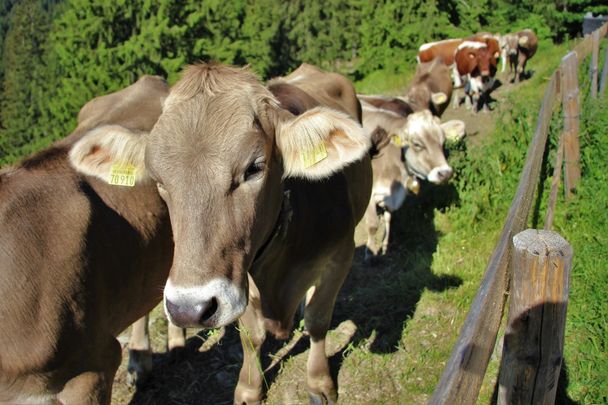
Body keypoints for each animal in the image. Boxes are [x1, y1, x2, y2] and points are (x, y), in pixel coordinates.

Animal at [94, 61, 370, 402]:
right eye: (158, 180)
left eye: (254, 167)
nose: (188, 309)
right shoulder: (240, 276)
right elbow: (251, 335)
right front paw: (249, 389)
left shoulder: (341, 254)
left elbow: (318, 320)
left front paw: (319, 382)